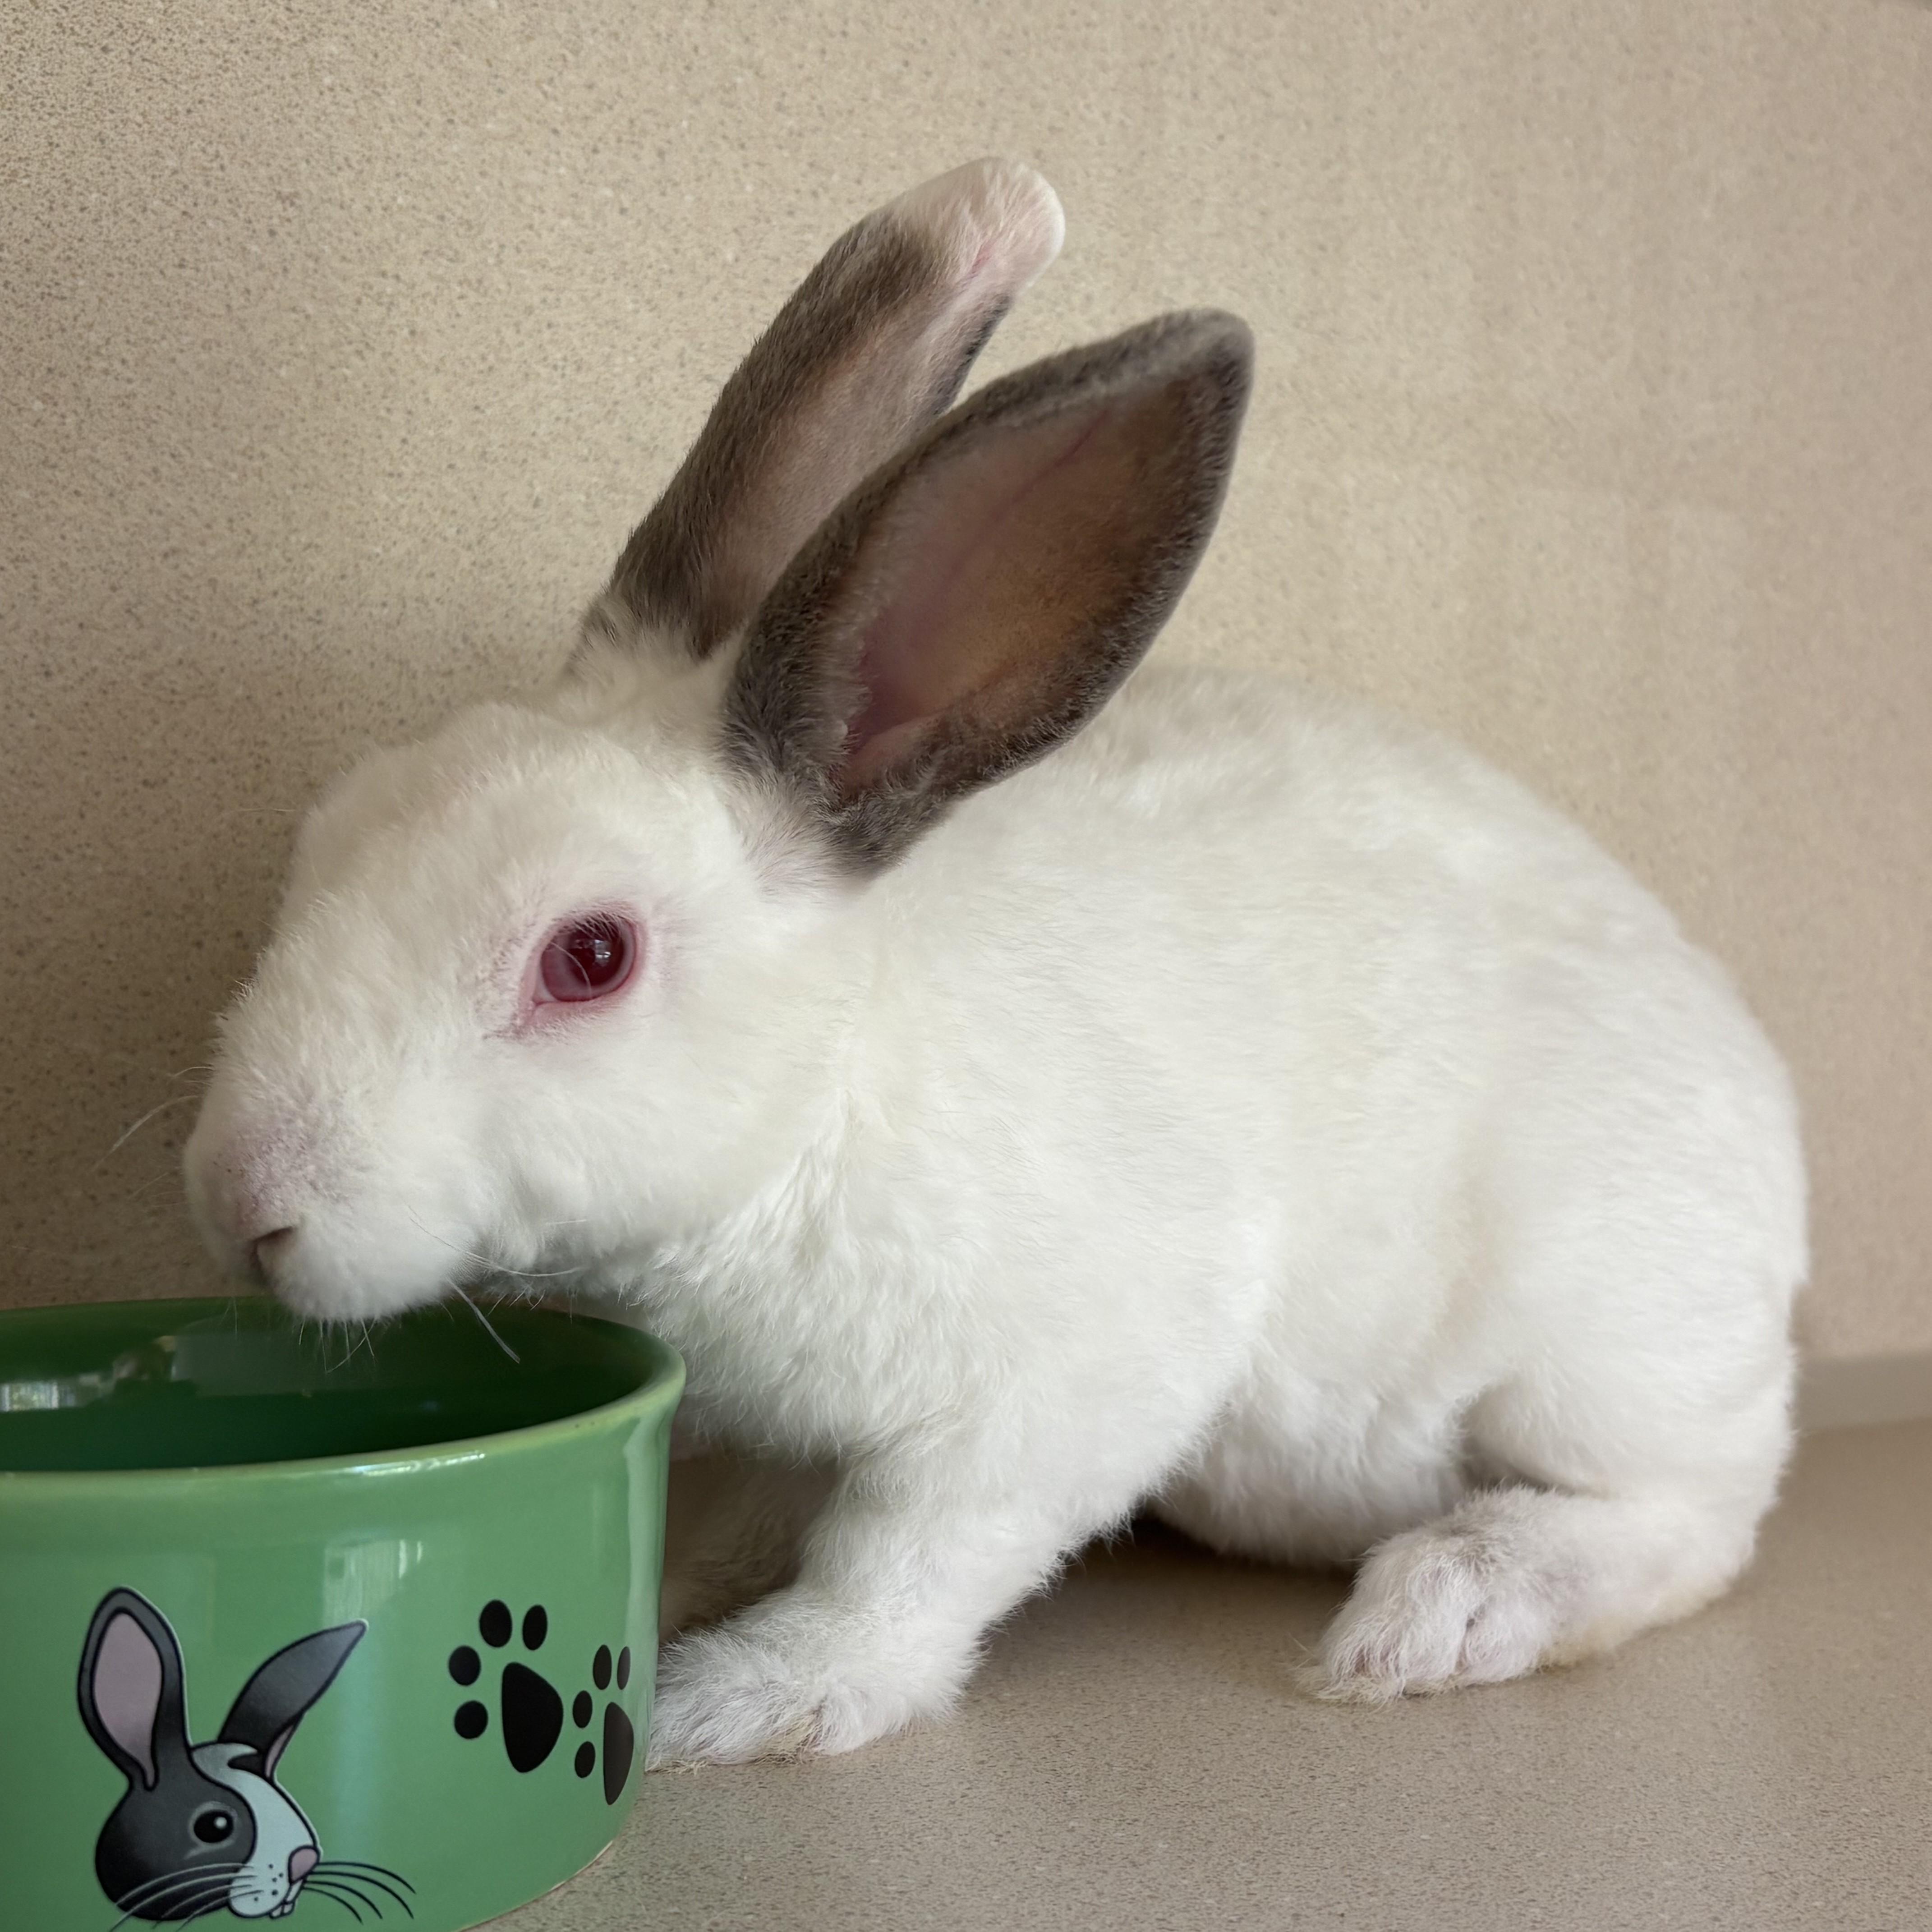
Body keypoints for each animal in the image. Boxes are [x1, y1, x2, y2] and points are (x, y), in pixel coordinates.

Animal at [181, 157, 1807, 1767]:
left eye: (589, 955)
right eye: (325, 835)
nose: (242, 1203)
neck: (821, 1104)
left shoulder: (1047, 1396)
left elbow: (902, 1558)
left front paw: (743, 1698)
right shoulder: (786, 1434)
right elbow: (755, 1515)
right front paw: (661, 1596)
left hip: (1594, 1350)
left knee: (1694, 1519)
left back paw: (1436, 1614)